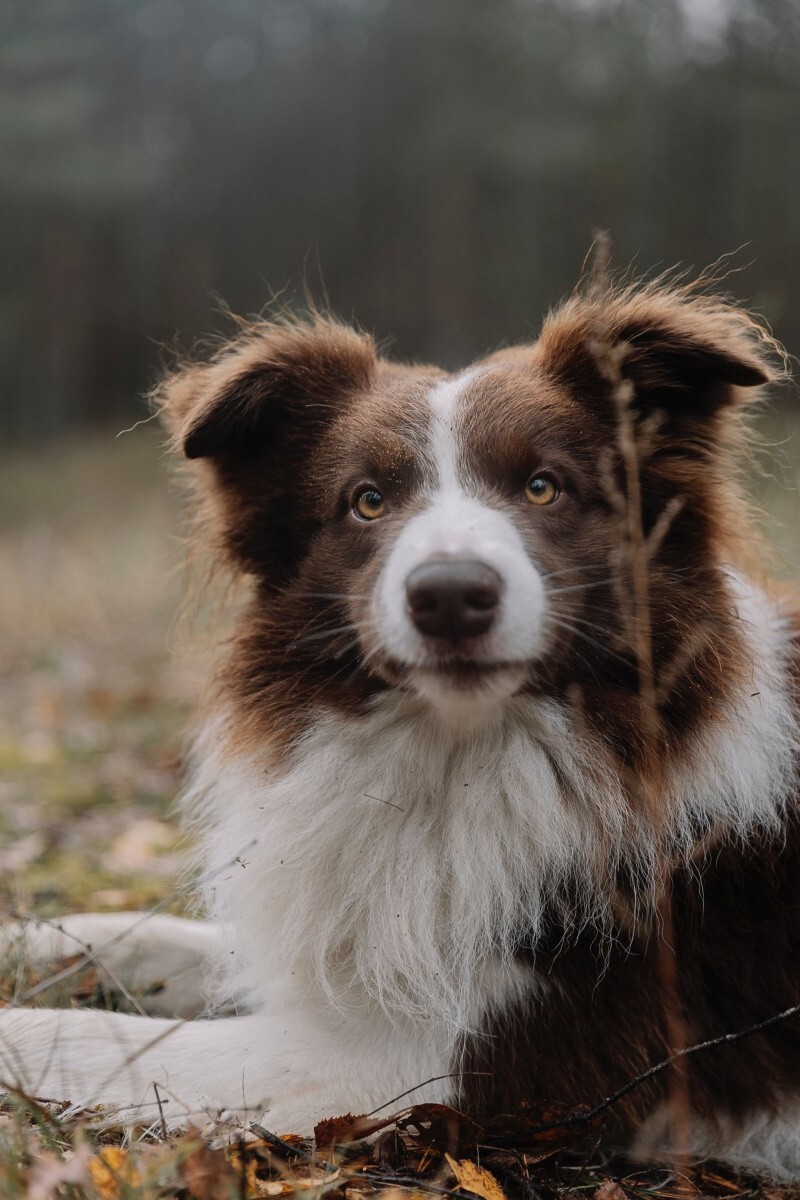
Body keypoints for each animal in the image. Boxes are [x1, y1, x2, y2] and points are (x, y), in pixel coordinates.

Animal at [1, 267, 800, 1176]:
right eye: (368, 501)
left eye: (543, 486)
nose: (450, 594)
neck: (462, 748)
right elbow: (165, 941)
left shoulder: (426, 1061)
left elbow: (101, 1037)